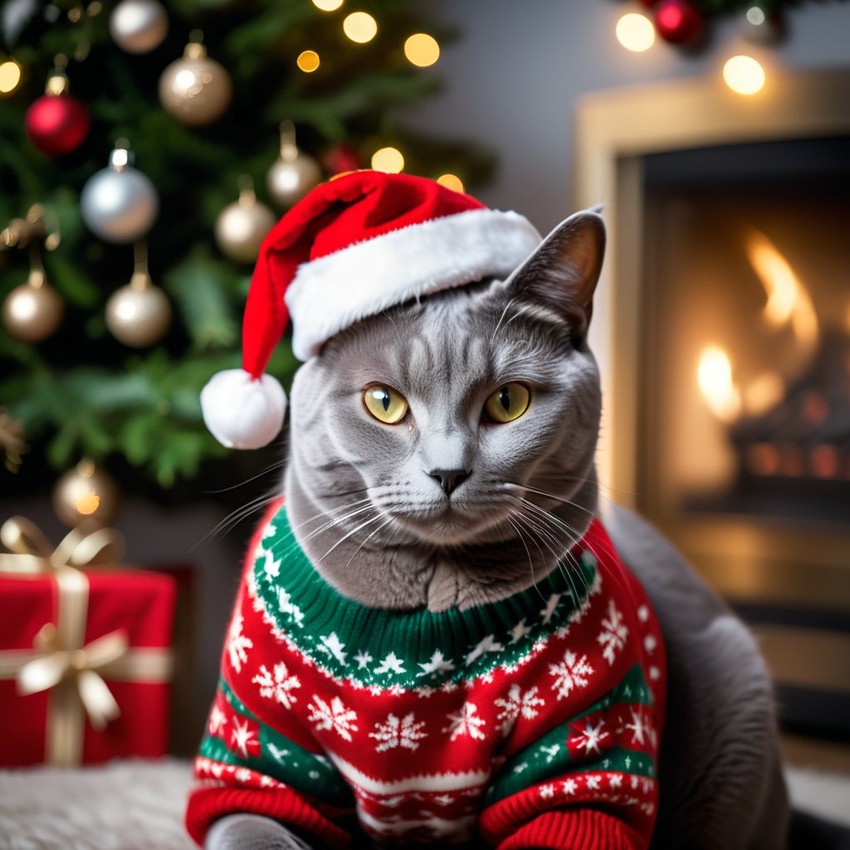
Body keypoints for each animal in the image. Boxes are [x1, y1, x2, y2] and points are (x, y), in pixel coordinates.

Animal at [195, 207, 792, 848]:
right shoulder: (256, 755)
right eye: (383, 402)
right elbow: (257, 822)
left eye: (510, 401)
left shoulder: (589, 750)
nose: (448, 471)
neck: (428, 614)